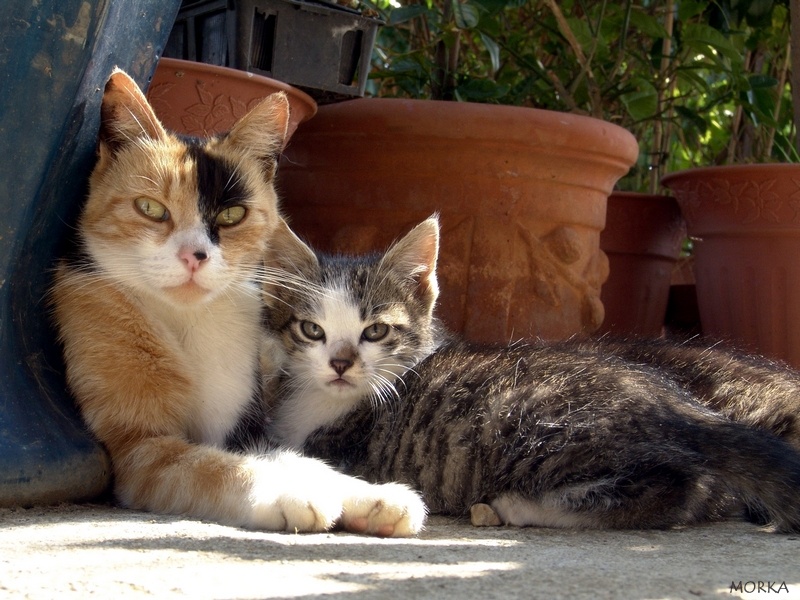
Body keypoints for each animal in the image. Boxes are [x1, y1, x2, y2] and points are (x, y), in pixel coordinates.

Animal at [49, 68, 424, 536]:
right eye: (150, 207)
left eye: (232, 216)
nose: (195, 255)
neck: (188, 321)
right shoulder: (139, 447)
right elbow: (208, 466)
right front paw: (290, 494)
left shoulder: (240, 425)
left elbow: (293, 458)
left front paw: (376, 496)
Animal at [262, 218, 800, 532]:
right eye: (312, 330)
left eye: (375, 331)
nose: (341, 362)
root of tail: (670, 401)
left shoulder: (344, 447)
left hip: (535, 430)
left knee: (678, 490)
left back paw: (517, 508)